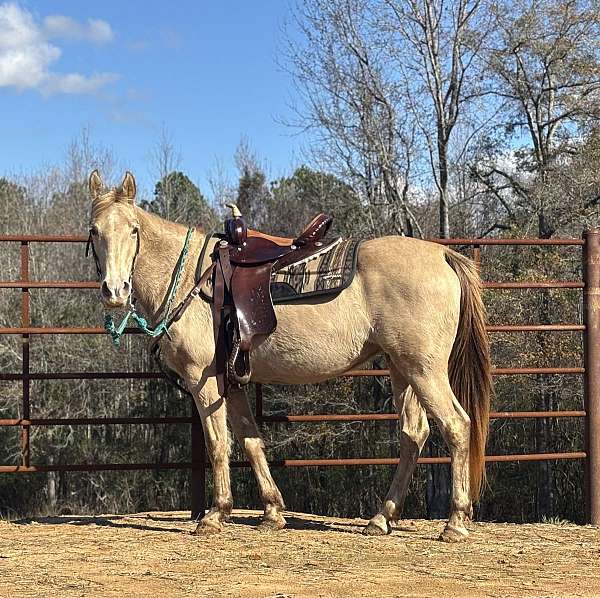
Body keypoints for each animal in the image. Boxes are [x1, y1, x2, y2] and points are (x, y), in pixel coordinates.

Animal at [88, 170, 492, 544]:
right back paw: (381, 518)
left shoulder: (205, 381)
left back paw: (455, 522)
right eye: (94, 231)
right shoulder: (232, 381)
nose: (114, 291)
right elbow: (250, 439)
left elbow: (219, 443)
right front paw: (272, 511)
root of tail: (441, 253)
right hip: (402, 369)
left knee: (456, 425)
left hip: (424, 370)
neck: (191, 277)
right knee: (413, 434)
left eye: (134, 230)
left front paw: (215, 516)